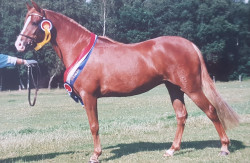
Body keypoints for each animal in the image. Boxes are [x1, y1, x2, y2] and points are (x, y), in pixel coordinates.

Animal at [15, 1, 238, 163]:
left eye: (35, 22)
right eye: (26, 19)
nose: (19, 44)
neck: (81, 49)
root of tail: (189, 44)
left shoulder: (89, 96)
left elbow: (94, 125)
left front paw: (95, 155)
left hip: (191, 88)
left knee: (211, 110)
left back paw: (224, 148)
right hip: (174, 88)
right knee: (181, 116)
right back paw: (172, 150)